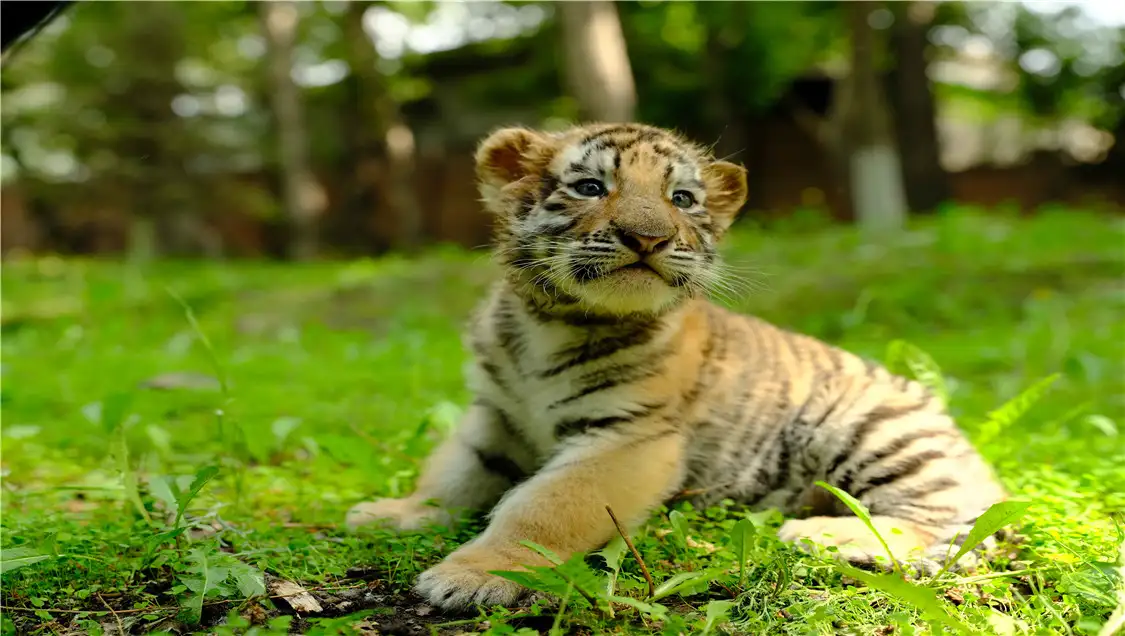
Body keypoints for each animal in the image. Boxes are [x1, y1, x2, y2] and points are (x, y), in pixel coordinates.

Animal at [345, 122, 1007, 610]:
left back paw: (820, 533)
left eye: (682, 199)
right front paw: (395, 512)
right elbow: (452, 473)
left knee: (939, 522)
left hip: (874, 432)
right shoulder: (495, 416)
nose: (649, 237)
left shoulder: (630, 437)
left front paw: (477, 573)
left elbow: (542, 506)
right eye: (590, 187)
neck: (547, 321)